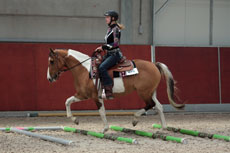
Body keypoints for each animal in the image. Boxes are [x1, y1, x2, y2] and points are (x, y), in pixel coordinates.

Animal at [46, 48, 185, 133]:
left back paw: (135, 119)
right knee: (159, 106)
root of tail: (154, 65)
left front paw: (105, 129)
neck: (85, 70)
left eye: (52, 61)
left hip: (144, 92)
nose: (49, 78)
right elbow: (67, 101)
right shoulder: (82, 95)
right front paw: (75, 120)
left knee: (150, 105)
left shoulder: (95, 96)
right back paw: (162, 128)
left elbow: (101, 112)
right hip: (151, 92)